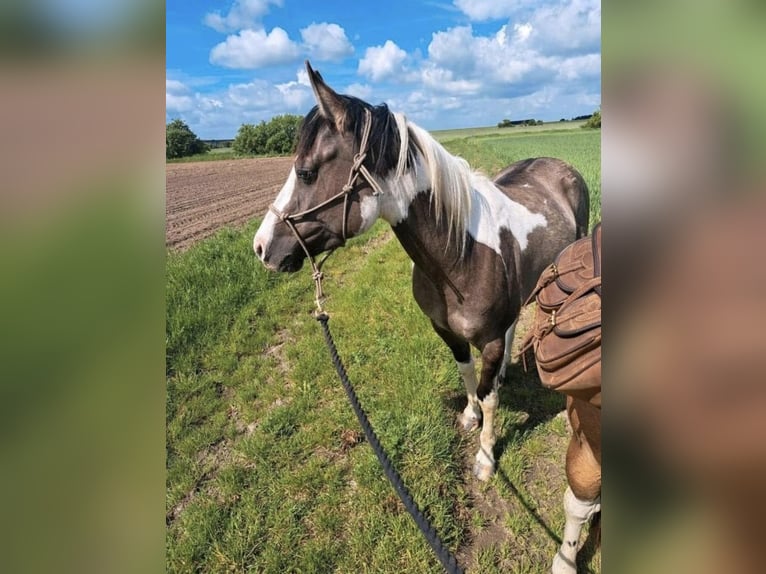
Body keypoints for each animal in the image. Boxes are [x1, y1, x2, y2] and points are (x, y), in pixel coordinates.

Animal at [253, 61, 589, 486]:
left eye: (308, 172)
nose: (261, 247)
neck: (460, 257)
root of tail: (562, 167)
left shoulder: (490, 339)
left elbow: (489, 397)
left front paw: (485, 458)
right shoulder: (446, 331)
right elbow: (468, 375)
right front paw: (469, 415)